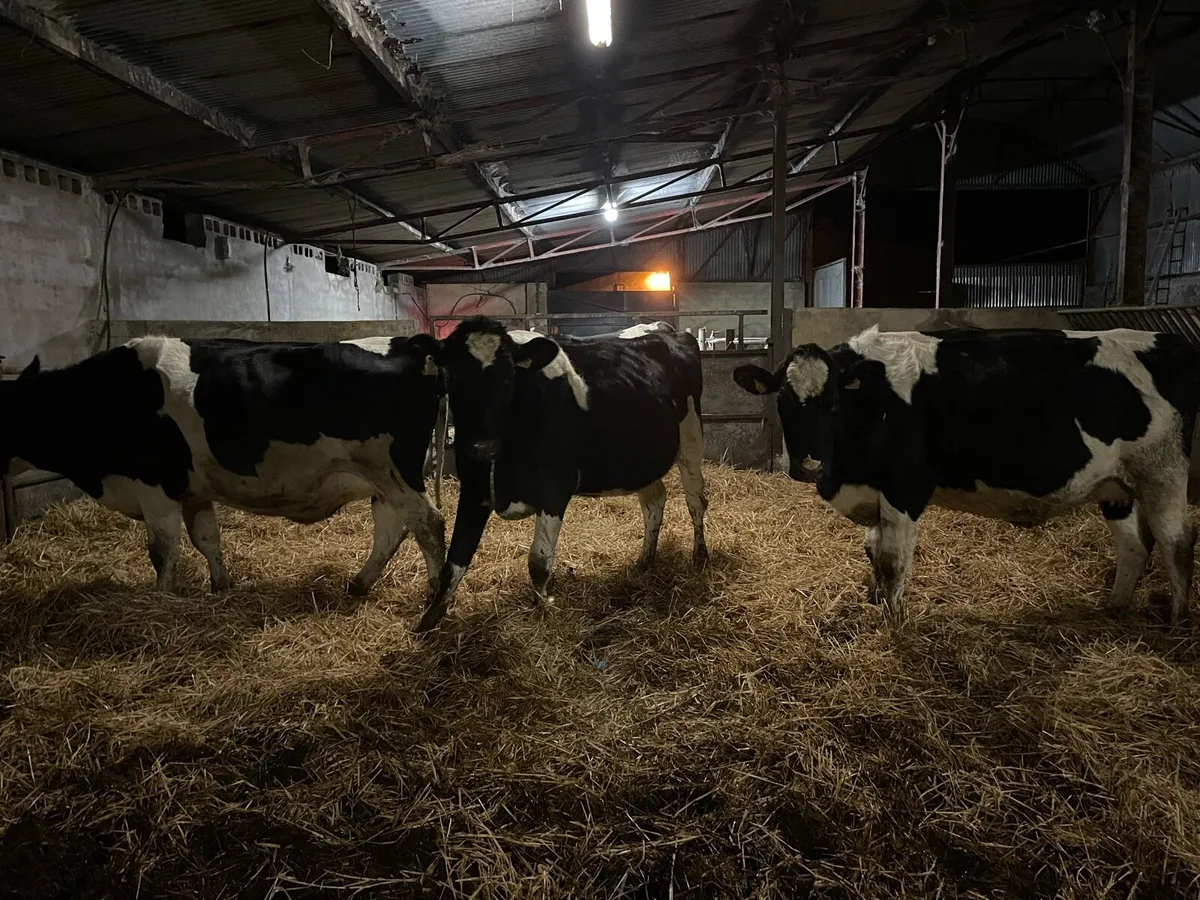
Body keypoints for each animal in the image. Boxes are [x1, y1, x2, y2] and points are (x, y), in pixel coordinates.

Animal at [0, 334, 447, 598]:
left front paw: (161, 600)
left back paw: (434, 596)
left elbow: (163, 550)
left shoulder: (155, 486)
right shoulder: (193, 491)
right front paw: (221, 586)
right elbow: (206, 539)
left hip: (393, 469)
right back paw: (359, 583)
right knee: (391, 527)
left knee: (429, 523)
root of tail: (409, 342)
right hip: (384, 479)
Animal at [413, 316, 709, 633]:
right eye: (455, 378)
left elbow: (538, 562)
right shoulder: (473, 490)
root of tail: (666, 329)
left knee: (695, 501)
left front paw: (544, 610)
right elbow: (455, 560)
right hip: (642, 460)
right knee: (654, 501)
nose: (483, 446)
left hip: (691, 437)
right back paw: (645, 560)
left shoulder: (555, 489)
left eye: (508, 378)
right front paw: (430, 618)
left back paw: (700, 555)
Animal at [734, 325, 1200, 627]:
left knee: (1177, 544)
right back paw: (1114, 609)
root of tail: (1171, 341)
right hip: (1118, 485)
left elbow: (892, 560)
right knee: (1135, 545)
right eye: (782, 398)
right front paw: (876, 603)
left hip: (1163, 473)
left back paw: (1176, 624)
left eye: (832, 401)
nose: (810, 466)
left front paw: (893, 624)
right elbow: (872, 551)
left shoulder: (906, 487)